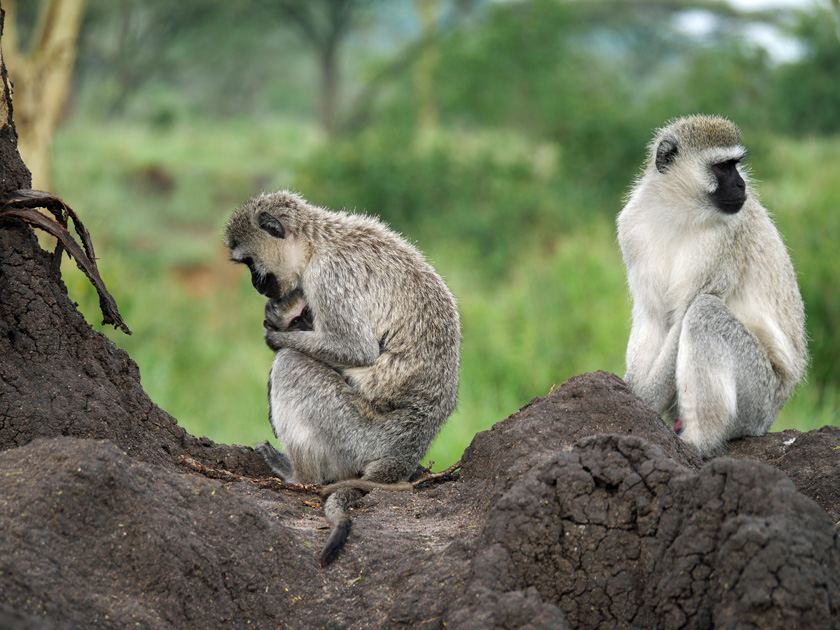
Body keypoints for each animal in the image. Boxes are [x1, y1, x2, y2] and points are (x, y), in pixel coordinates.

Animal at [225, 190, 460, 564]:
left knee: (291, 366)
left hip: (355, 436)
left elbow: (357, 349)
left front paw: (274, 340)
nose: (255, 284)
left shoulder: (329, 277)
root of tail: (406, 453)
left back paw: (296, 475)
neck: (318, 242)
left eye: (249, 262)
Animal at [616, 115, 808, 460]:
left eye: (735, 165)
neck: (678, 212)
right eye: (721, 167)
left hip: (758, 398)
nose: (742, 185)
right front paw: (631, 395)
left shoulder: (723, 241)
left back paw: (700, 442)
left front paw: (643, 403)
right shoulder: (631, 228)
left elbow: (684, 315)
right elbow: (652, 316)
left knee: (703, 311)